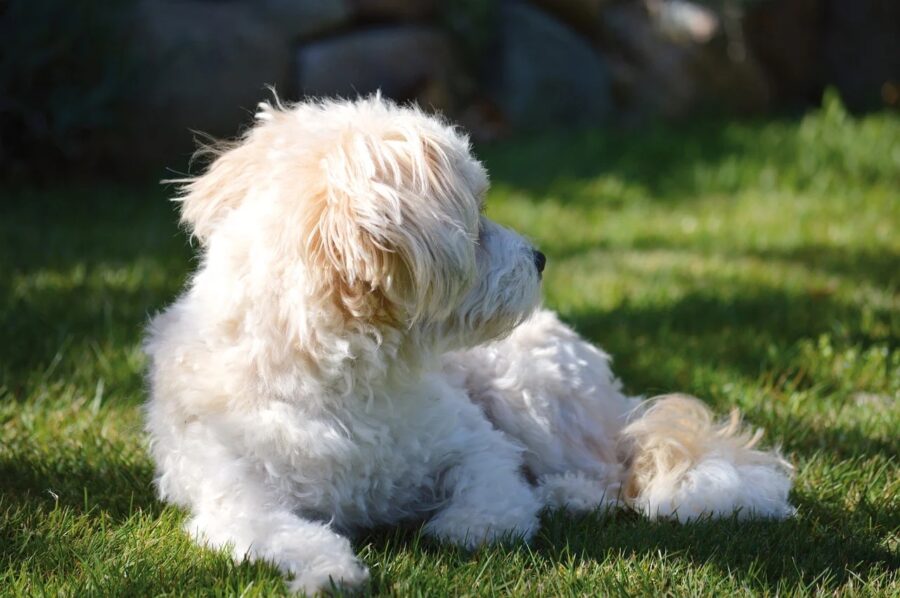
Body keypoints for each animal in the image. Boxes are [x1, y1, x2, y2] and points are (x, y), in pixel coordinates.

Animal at [142, 95, 796, 596]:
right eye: (477, 220)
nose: (540, 257)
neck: (348, 376)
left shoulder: (479, 447)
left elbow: (490, 506)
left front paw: (455, 524)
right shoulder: (234, 500)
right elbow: (287, 534)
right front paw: (330, 570)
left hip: (524, 389)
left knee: (611, 470)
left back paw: (565, 492)